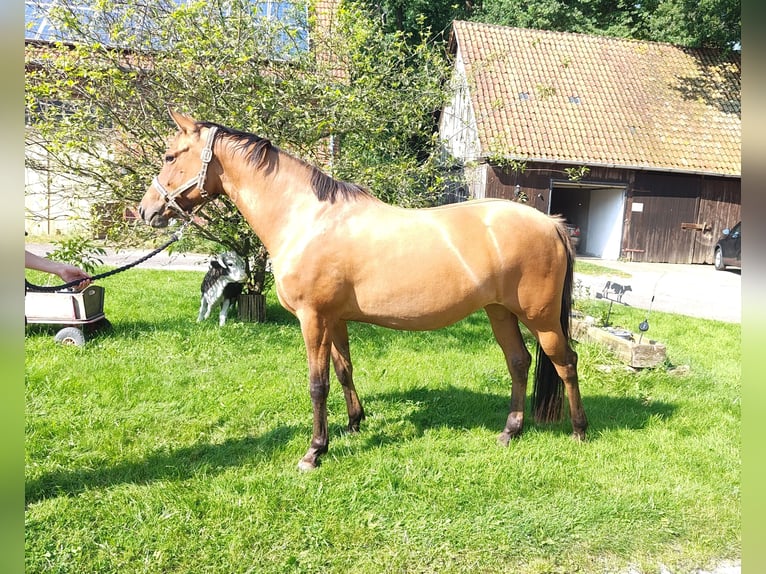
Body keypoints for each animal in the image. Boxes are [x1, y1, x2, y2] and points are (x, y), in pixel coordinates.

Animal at [138, 110, 592, 470]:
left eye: (170, 156)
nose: (146, 211)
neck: (307, 218)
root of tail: (550, 222)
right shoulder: (334, 319)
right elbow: (344, 371)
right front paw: (354, 424)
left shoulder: (313, 319)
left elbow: (317, 383)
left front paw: (314, 451)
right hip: (500, 311)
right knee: (519, 362)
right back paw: (510, 431)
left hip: (541, 318)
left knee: (565, 362)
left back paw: (579, 431)